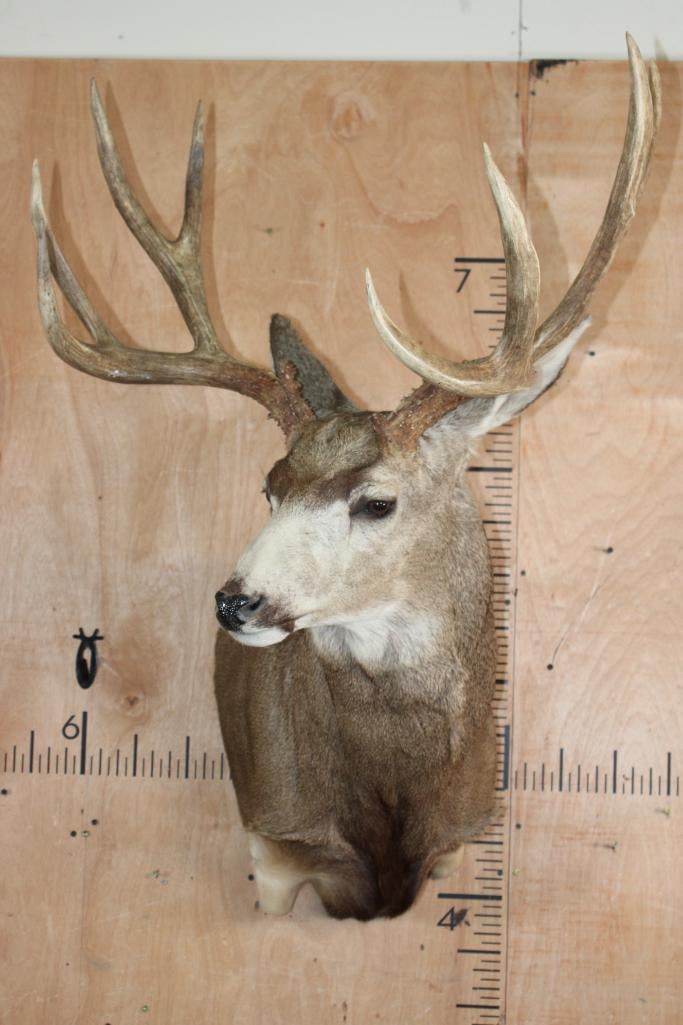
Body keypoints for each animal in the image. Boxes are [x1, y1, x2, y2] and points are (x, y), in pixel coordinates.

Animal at [31, 36, 659, 920]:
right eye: (268, 485)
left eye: (377, 501)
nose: (235, 600)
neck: (390, 808)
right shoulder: (276, 843)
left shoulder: (463, 827)